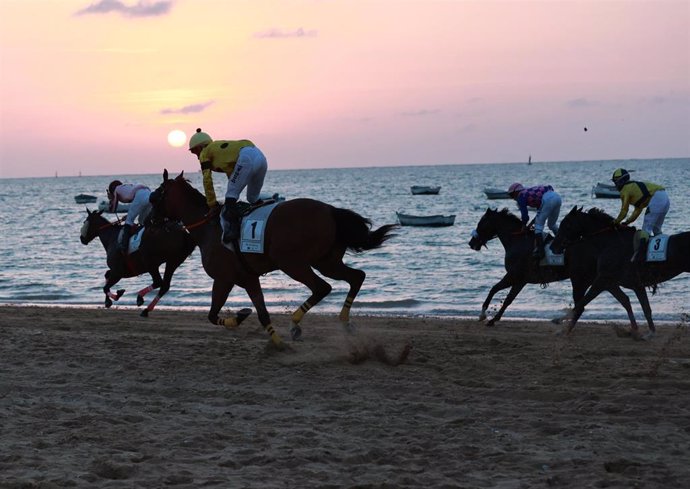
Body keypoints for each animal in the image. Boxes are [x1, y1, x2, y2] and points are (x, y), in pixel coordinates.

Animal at [149, 170, 398, 346]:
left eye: (155, 197)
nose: (150, 221)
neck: (209, 229)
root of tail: (330, 210)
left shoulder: (224, 279)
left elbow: (215, 315)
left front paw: (253, 326)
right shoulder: (247, 278)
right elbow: (260, 313)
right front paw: (267, 336)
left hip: (292, 262)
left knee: (322, 287)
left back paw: (295, 324)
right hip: (326, 262)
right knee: (357, 277)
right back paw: (344, 323)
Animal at [548, 206, 688, 340]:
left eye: (567, 224)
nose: (553, 246)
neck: (610, 243)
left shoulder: (603, 279)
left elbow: (583, 302)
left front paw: (558, 322)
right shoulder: (628, 284)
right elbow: (641, 306)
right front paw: (645, 332)